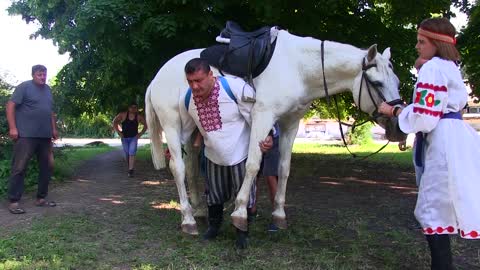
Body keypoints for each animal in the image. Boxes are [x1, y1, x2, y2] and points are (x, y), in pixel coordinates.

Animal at [145, 29, 404, 234]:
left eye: (398, 82)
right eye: (377, 83)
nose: (398, 128)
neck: (298, 68)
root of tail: (156, 77)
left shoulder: (290, 123)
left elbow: (283, 168)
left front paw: (279, 215)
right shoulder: (263, 117)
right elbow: (252, 165)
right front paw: (240, 212)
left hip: (191, 129)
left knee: (190, 168)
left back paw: (199, 211)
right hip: (173, 126)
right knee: (178, 168)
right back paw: (188, 219)